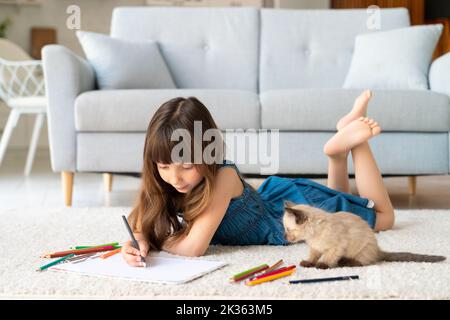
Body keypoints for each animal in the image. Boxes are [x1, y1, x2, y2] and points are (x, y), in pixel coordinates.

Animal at [284, 202, 444, 268]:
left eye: (287, 229)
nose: (285, 237)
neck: (312, 237)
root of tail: (378, 250)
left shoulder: (336, 247)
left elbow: (327, 258)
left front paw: (321, 265)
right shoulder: (316, 248)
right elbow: (312, 257)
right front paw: (308, 263)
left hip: (361, 250)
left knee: (363, 262)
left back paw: (345, 262)